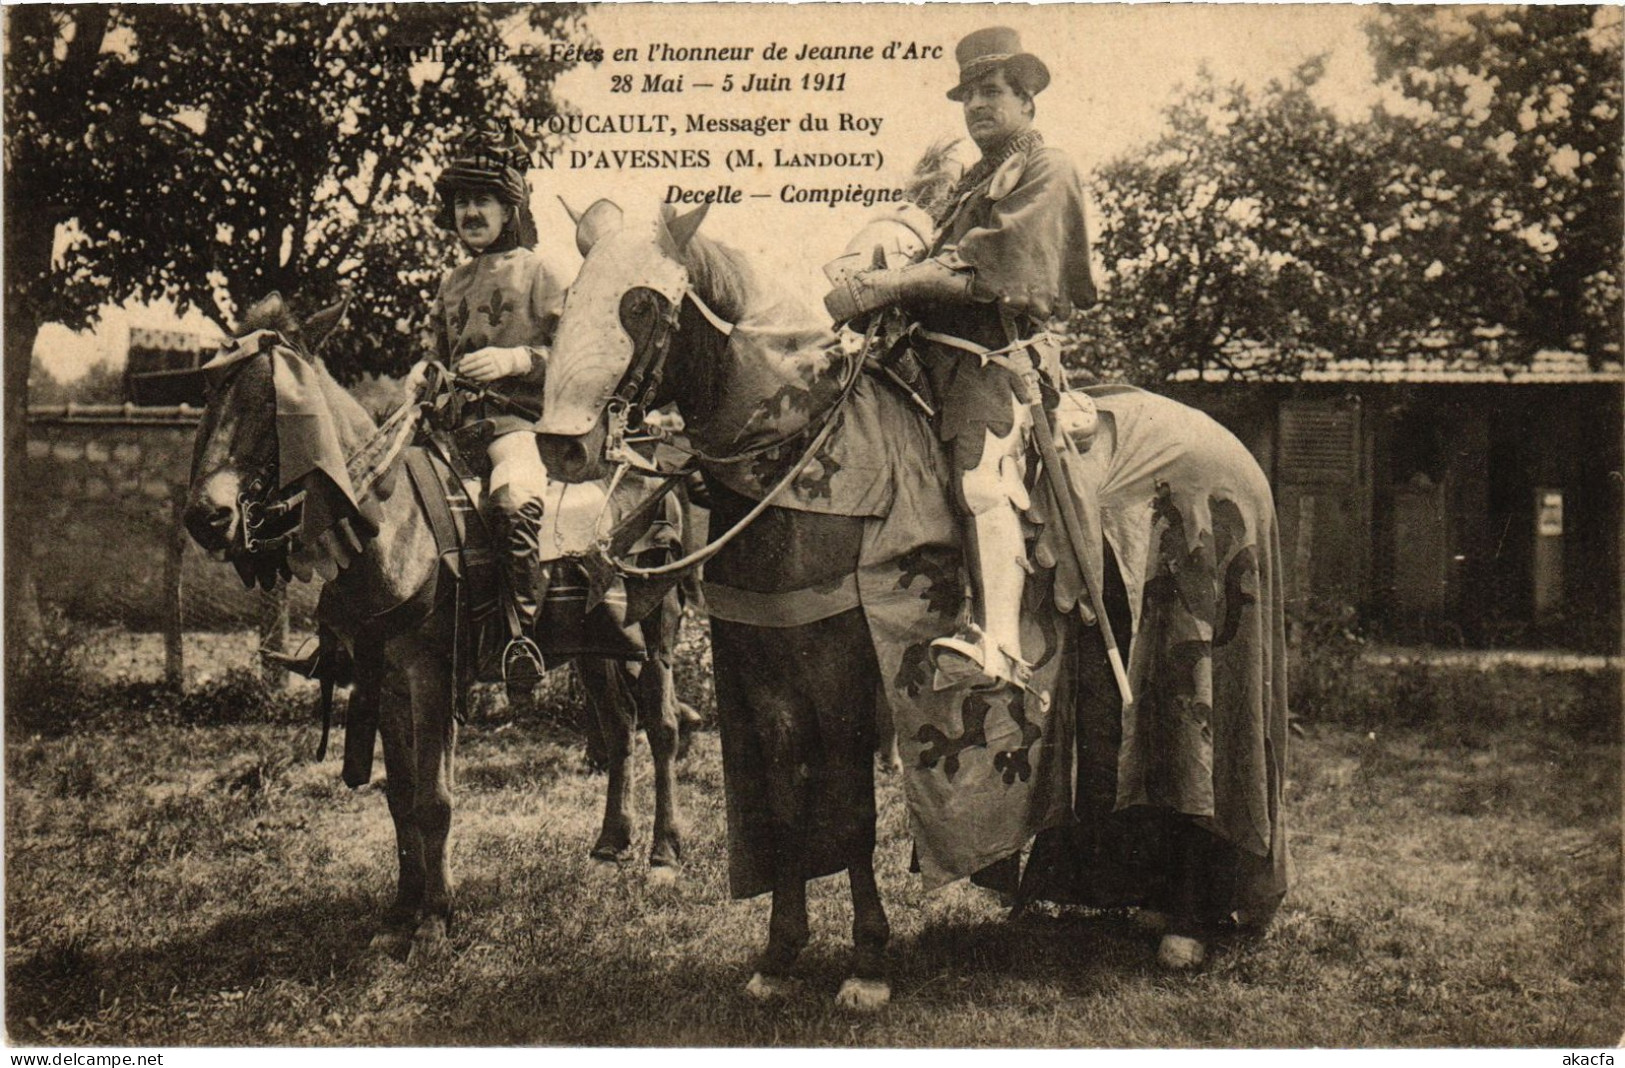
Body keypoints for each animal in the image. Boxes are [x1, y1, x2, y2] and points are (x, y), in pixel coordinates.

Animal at [186, 294, 692, 955]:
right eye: (210, 393)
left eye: (271, 403)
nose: (205, 516)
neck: (391, 531)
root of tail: (649, 464)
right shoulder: (383, 680)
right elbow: (401, 798)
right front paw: (402, 910)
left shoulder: (431, 677)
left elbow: (435, 799)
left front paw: (434, 919)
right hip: (595, 647)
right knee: (620, 726)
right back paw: (612, 843)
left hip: (656, 635)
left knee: (662, 729)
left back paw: (664, 854)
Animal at [539, 202, 1287, 1007]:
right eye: (568, 300)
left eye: (641, 304)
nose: (562, 448)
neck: (805, 468)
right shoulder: (770, 681)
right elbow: (789, 808)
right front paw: (779, 956)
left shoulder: (843, 679)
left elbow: (851, 815)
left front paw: (867, 964)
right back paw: (1153, 907)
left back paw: (1186, 927)